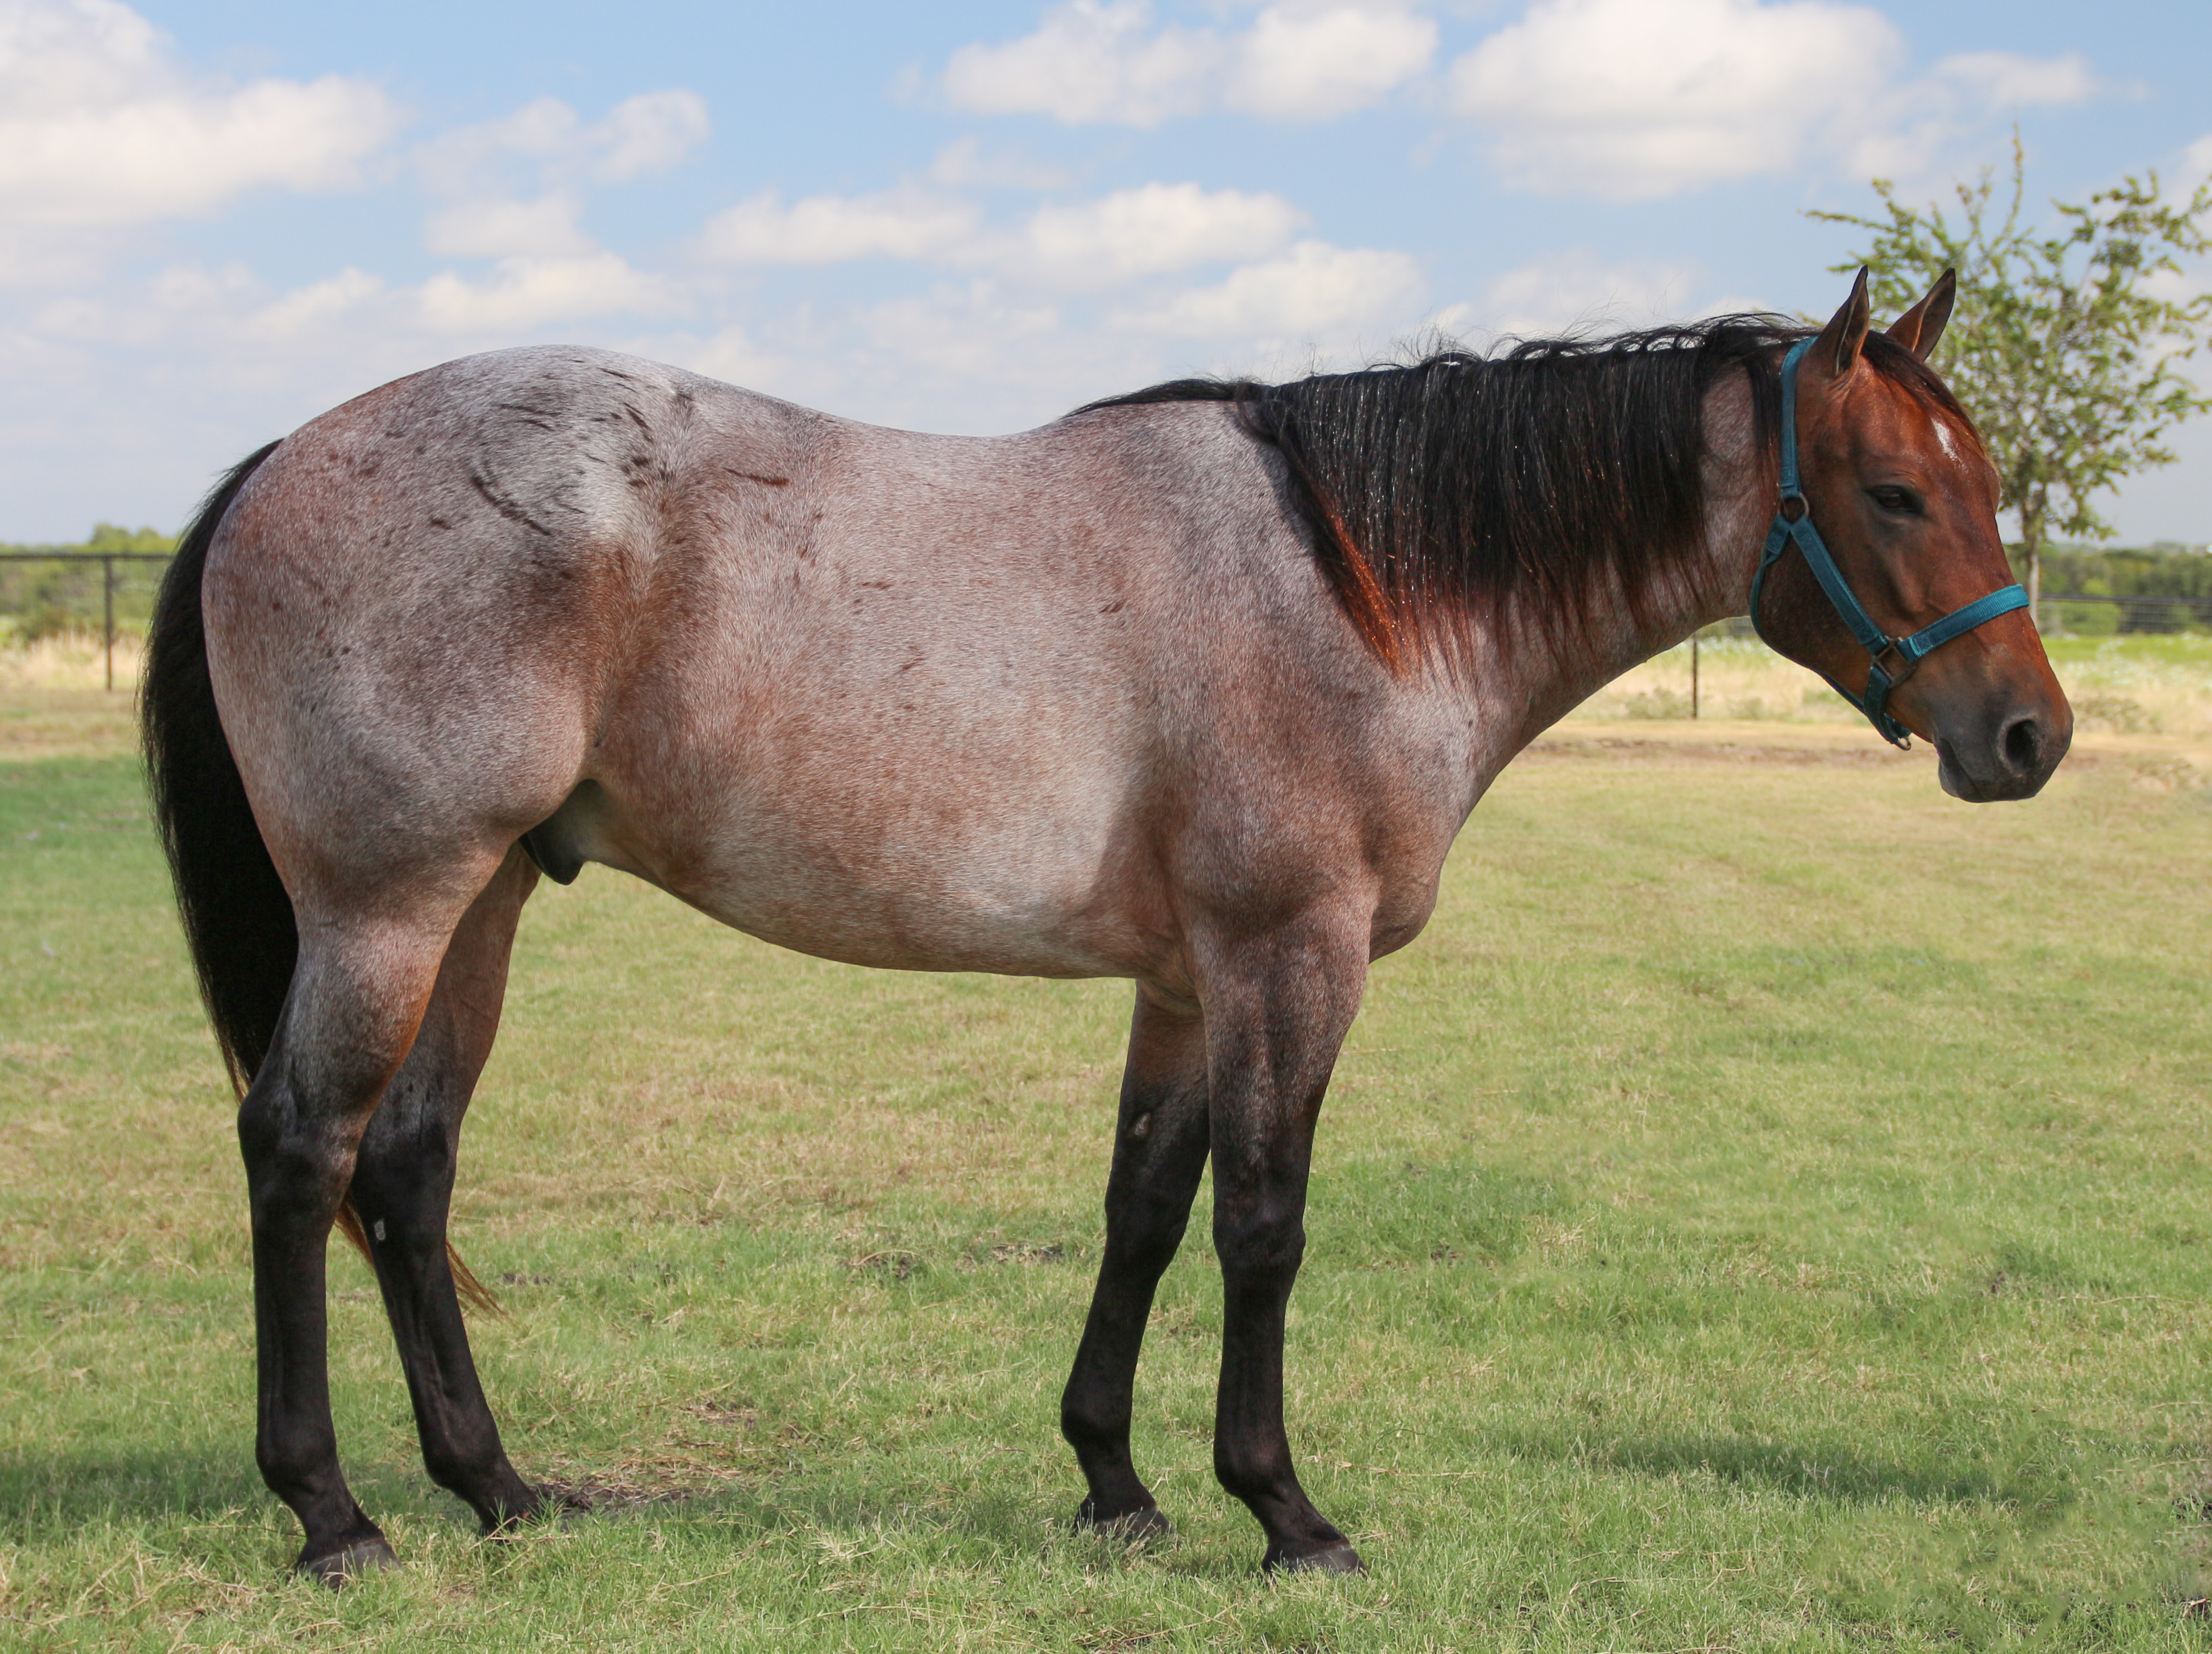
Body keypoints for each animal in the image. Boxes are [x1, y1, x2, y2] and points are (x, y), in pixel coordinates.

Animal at [142, 270, 2068, 1584]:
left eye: (1981, 483)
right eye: (1894, 492)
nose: (2029, 737)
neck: (1352, 588)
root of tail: (288, 454)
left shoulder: (1187, 982)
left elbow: (1143, 1211)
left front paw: (1117, 1485)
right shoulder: (1291, 956)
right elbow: (1264, 1226)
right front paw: (1285, 1511)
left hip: (475, 904)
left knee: (407, 1170)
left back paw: (500, 1487)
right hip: (388, 905)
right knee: (301, 1150)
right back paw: (332, 1513)